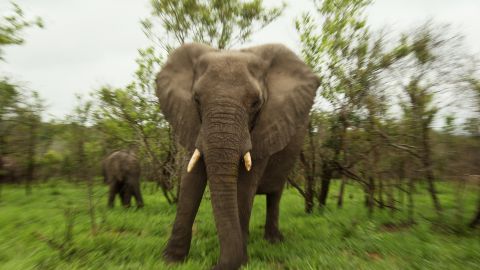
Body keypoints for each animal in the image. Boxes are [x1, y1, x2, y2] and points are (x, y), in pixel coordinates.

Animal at [157, 43, 318, 268]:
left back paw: (273, 241)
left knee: (275, 194)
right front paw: (171, 261)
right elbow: (191, 181)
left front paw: (241, 261)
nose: (214, 265)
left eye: (256, 103)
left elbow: (244, 186)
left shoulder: (267, 127)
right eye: (196, 99)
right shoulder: (192, 122)